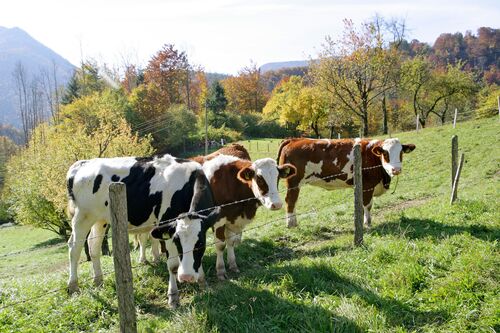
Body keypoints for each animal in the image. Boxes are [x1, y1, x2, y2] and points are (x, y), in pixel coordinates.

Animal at [67, 155, 219, 306]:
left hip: (100, 220)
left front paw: (202, 282)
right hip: (82, 217)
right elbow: (173, 265)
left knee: (94, 248)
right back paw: (73, 286)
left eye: (201, 243)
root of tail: (83, 163)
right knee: (74, 248)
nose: (187, 277)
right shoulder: (168, 227)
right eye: (177, 241)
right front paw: (173, 296)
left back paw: (98, 280)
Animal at [278, 137, 414, 228]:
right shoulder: (367, 186)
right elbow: (367, 205)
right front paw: (367, 223)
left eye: (401, 153)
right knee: (290, 200)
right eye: (385, 153)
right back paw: (291, 224)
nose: (396, 169)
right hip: (293, 182)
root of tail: (294, 139)